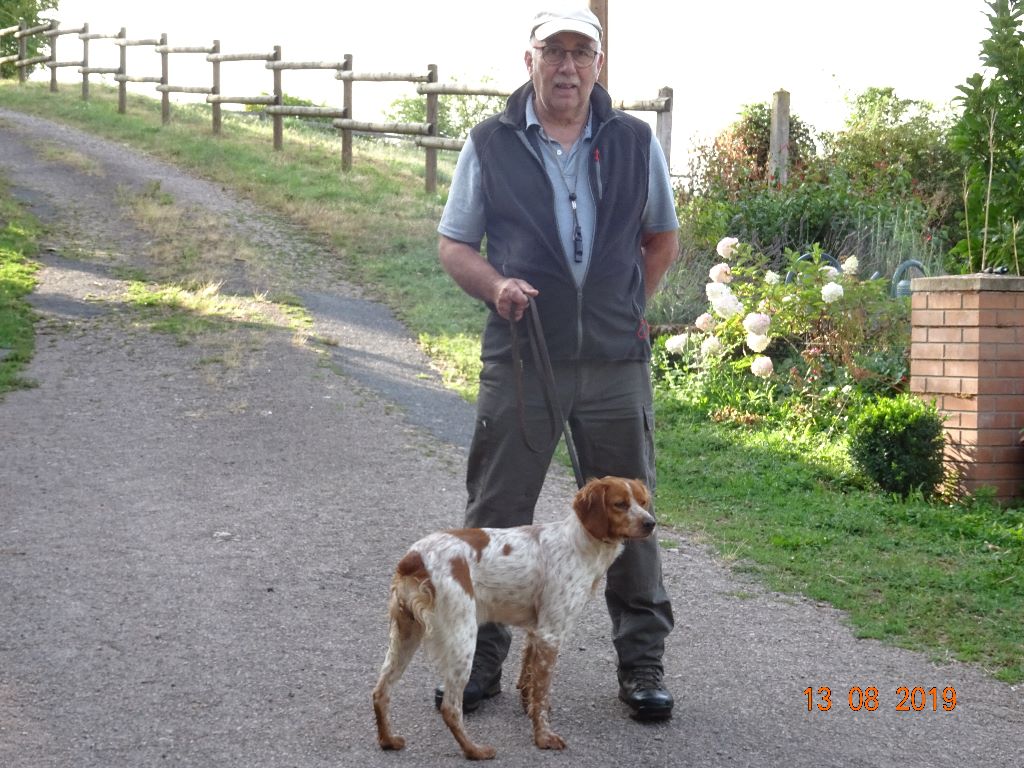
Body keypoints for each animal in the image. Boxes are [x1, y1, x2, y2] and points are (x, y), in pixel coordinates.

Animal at [372, 479, 651, 761]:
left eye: (643, 502)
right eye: (620, 504)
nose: (650, 523)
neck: (580, 542)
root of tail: (414, 557)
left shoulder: (536, 631)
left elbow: (529, 679)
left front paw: (530, 710)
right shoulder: (551, 634)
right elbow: (542, 692)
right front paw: (543, 737)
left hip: (405, 634)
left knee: (380, 691)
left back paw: (388, 740)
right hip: (462, 638)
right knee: (450, 708)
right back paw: (475, 750)